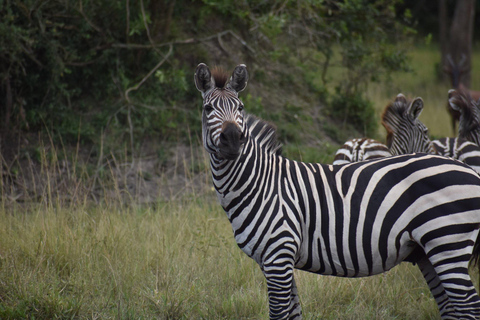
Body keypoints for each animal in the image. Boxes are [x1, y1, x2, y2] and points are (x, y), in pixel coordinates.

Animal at [193, 63, 480, 320]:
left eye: (240, 108)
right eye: (208, 108)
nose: (233, 139)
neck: (260, 184)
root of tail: (467, 169)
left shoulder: (278, 255)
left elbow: (279, 314)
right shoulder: (275, 260)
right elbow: (293, 314)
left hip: (447, 242)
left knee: (468, 306)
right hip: (428, 252)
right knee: (453, 309)